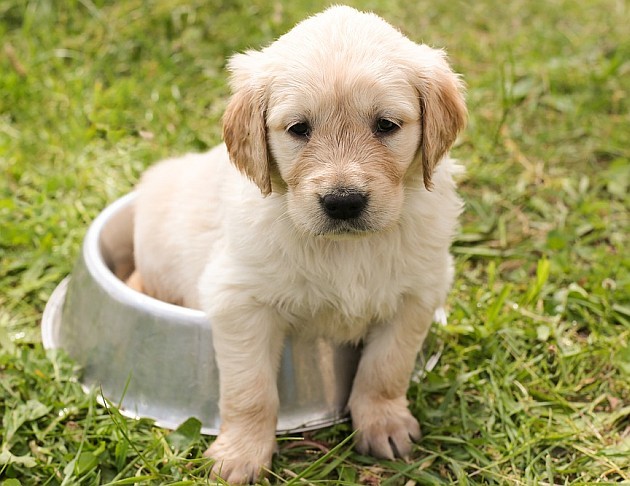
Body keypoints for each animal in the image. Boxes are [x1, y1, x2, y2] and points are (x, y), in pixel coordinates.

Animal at [130, 5, 464, 484]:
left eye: (386, 125)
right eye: (298, 129)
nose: (343, 202)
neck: (347, 249)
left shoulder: (417, 294)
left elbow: (386, 368)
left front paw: (383, 423)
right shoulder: (239, 300)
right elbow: (251, 390)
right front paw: (240, 455)